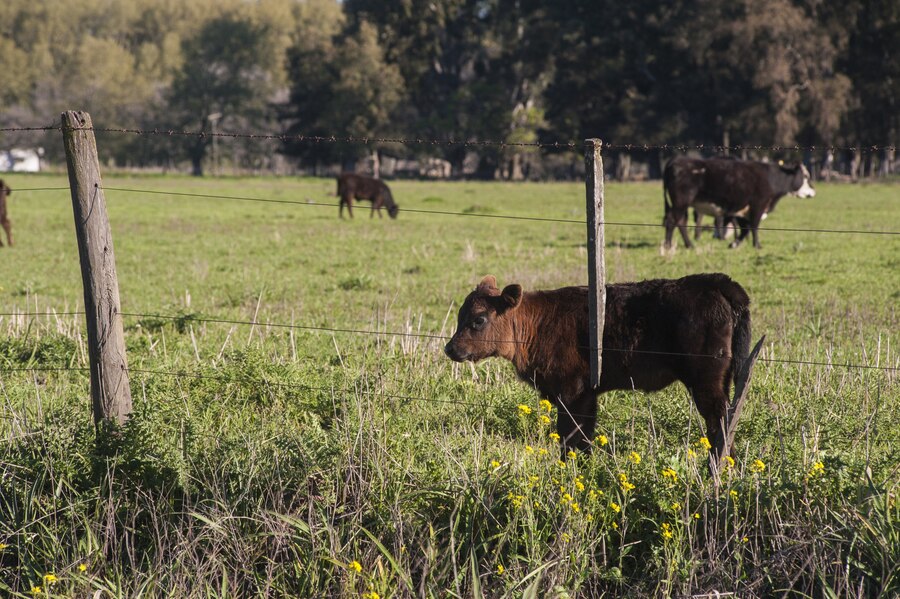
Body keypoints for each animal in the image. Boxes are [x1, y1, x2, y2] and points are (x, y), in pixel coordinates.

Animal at [444, 274, 752, 462]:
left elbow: (571, 435)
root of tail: (715, 282)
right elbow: (582, 437)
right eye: (460, 316)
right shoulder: (586, 395)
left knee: (719, 422)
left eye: (479, 319)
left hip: (707, 384)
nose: (450, 348)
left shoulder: (572, 393)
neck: (538, 322)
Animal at [660, 158, 816, 250]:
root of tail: (674, 162)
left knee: (679, 221)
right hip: (681, 202)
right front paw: (757, 245)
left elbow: (745, 229)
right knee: (673, 221)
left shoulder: (742, 210)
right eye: (806, 176)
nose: (813, 192)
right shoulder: (758, 205)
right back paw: (672, 245)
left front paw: (734, 243)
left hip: (682, 205)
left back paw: (685, 245)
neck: (771, 178)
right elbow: (754, 226)